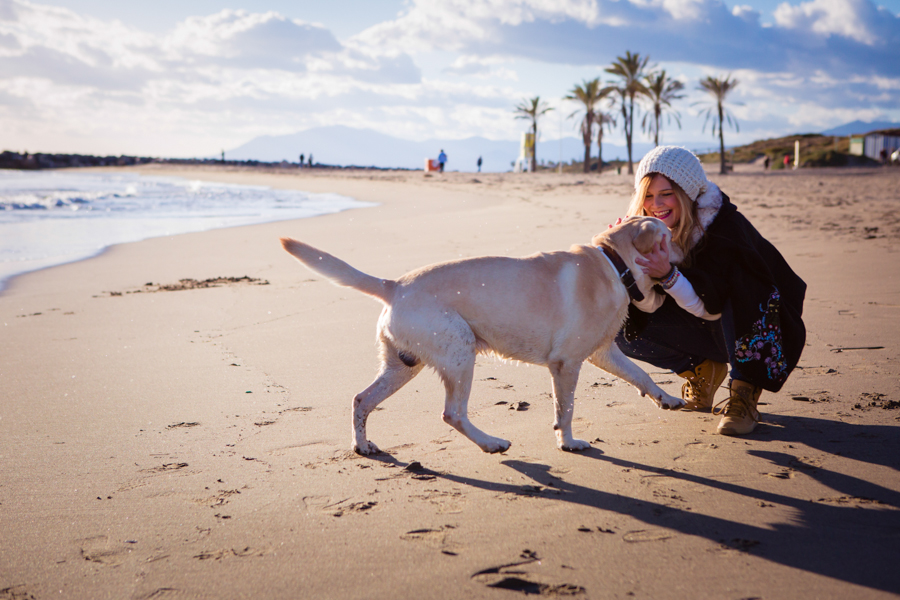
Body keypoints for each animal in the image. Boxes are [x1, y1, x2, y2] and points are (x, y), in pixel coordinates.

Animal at [282, 216, 684, 454]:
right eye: (667, 236)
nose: (685, 246)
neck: (614, 266)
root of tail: (394, 285)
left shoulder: (603, 352)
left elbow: (641, 374)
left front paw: (666, 399)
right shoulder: (567, 363)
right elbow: (566, 409)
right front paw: (568, 442)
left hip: (403, 366)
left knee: (361, 400)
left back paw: (363, 445)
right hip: (460, 352)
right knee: (452, 413)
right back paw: (492, 443)